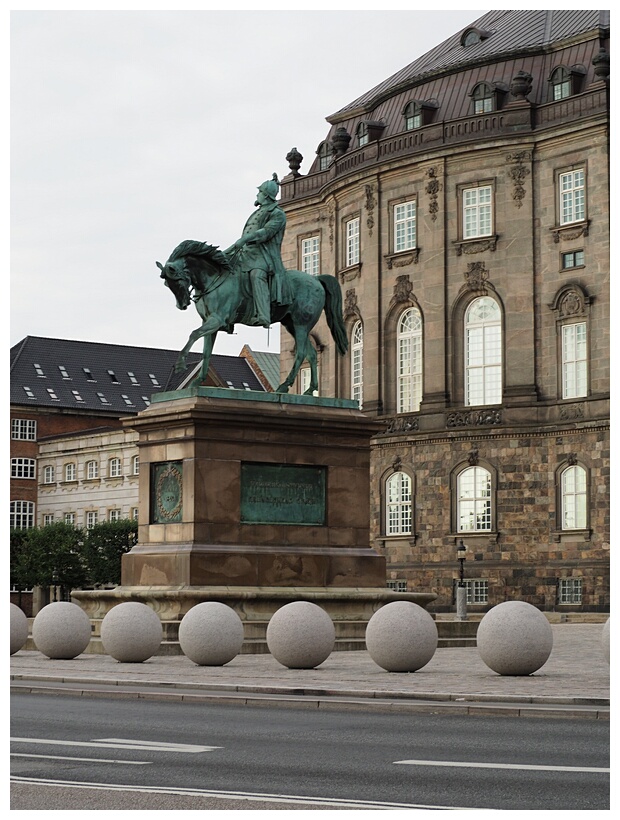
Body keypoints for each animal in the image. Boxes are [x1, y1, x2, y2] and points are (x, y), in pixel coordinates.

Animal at [156, 240, 348, 394]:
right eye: (166, 284)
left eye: (176, 280)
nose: (182, 305)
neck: (214, 278)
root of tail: (316, 280)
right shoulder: (210, 323)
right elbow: (206, 352)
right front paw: (198, 381)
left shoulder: (216, 320)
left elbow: (193, 334)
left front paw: (180, 364)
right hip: (292, 325)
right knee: (312, 354)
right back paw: (310, 390)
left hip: (301, 325)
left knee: (301, 353)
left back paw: (284, 386)